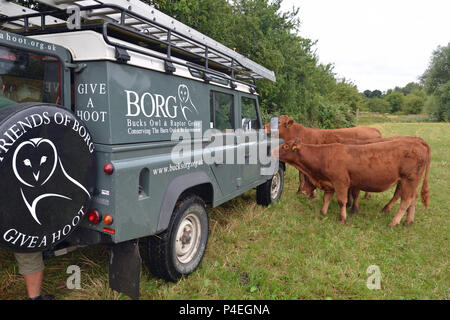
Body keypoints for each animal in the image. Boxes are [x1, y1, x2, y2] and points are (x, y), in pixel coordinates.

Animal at [272, 139, 430, 226]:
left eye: (285, 147)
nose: (271, 151)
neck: (325, 155)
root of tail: (418, 143)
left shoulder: (341, 182)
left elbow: (342, 201)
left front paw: (342, 218)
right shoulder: (330, 183)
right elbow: (327, 198)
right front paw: (323, 212)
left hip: (408, 180)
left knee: (405, 201)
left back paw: (394, 222)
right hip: (412, 183)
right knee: (413, 199)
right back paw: (408, 221)